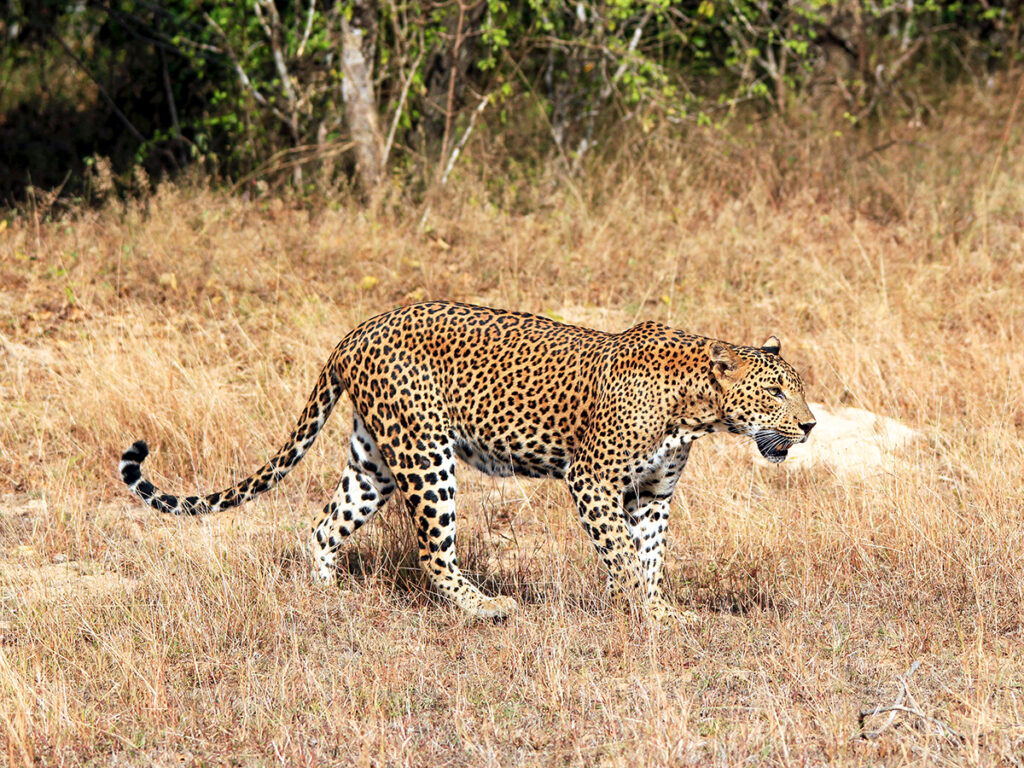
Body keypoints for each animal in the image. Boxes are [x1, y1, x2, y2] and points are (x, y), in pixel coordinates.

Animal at [119, 301, 815, 621]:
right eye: (778, 391)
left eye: (797, 388)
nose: (810, 426)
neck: (697, 409)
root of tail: (356, 331)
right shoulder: (592, 481)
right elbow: (621, 552)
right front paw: (645, 612)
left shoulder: (650, 495)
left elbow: (648, 556)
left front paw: (655, 609)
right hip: (426, 455)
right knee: (433, 553)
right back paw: (487, 608)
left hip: (374, 460)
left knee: (323, 525)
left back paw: (327, 599)